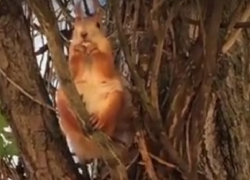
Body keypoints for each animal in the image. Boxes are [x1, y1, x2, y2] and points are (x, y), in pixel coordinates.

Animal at [54, 0, 135, 164]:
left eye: (98, 25)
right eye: (75, 25)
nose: (84, 34)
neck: (88, 57)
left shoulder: (108, 56)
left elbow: (105, 65)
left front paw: (95, 50)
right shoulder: (71, 58)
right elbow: (72, 69)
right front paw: (79, 51)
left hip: (115, 99)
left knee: (107, 120)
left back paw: (98, 120)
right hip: (62, 98)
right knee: (69, 118)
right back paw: (76, 120)